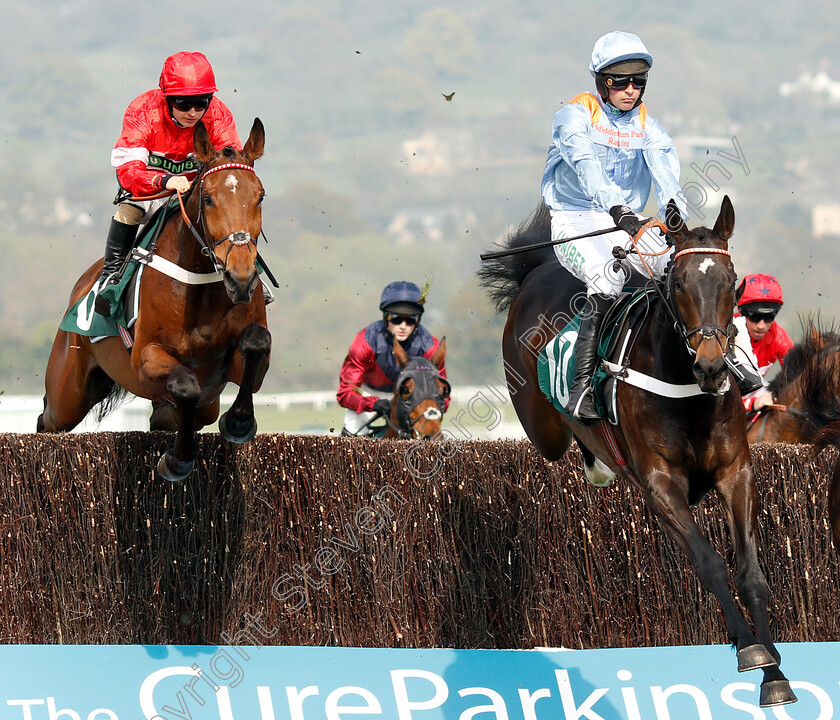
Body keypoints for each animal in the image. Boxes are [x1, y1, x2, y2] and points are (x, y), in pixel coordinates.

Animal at [38, 119, 270, 484]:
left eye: (260, 197)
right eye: (208, 199)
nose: (241, 278)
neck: (200, 286)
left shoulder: (232, 369)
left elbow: (256, 343)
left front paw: (238, 422)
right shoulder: (145, 358)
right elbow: (186, 384)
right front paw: (177, 460)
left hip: (203, 406)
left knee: (168, 418)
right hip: (68, 391)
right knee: (47, 421)